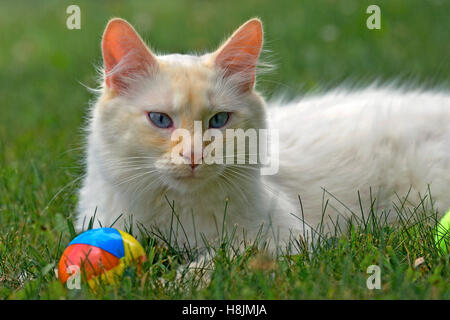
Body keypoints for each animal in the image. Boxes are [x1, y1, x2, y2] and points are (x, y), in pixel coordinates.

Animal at [75, 16, 448, 258]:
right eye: (160, 120)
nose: (194, 156)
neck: (176, 210)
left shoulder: (285, 237)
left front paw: (177, 281)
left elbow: (218, 262)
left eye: (219, 120)